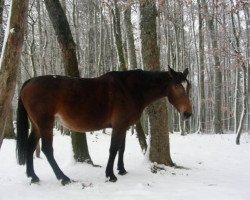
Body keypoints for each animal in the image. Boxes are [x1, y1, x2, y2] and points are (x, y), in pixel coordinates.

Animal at [16, 66, 191, 185]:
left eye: (188, 87)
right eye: (176, 86)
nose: (187, 114)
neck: (129, 89)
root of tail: (29, 82)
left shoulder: (124, 126)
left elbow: (121, 148)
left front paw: (121, 170)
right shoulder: (119, 125)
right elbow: (113, 149)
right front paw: (110, 175)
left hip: (37, 125)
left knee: (30, 146)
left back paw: (33, 176)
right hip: (45, 123)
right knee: (47, 150)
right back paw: (63, 178)